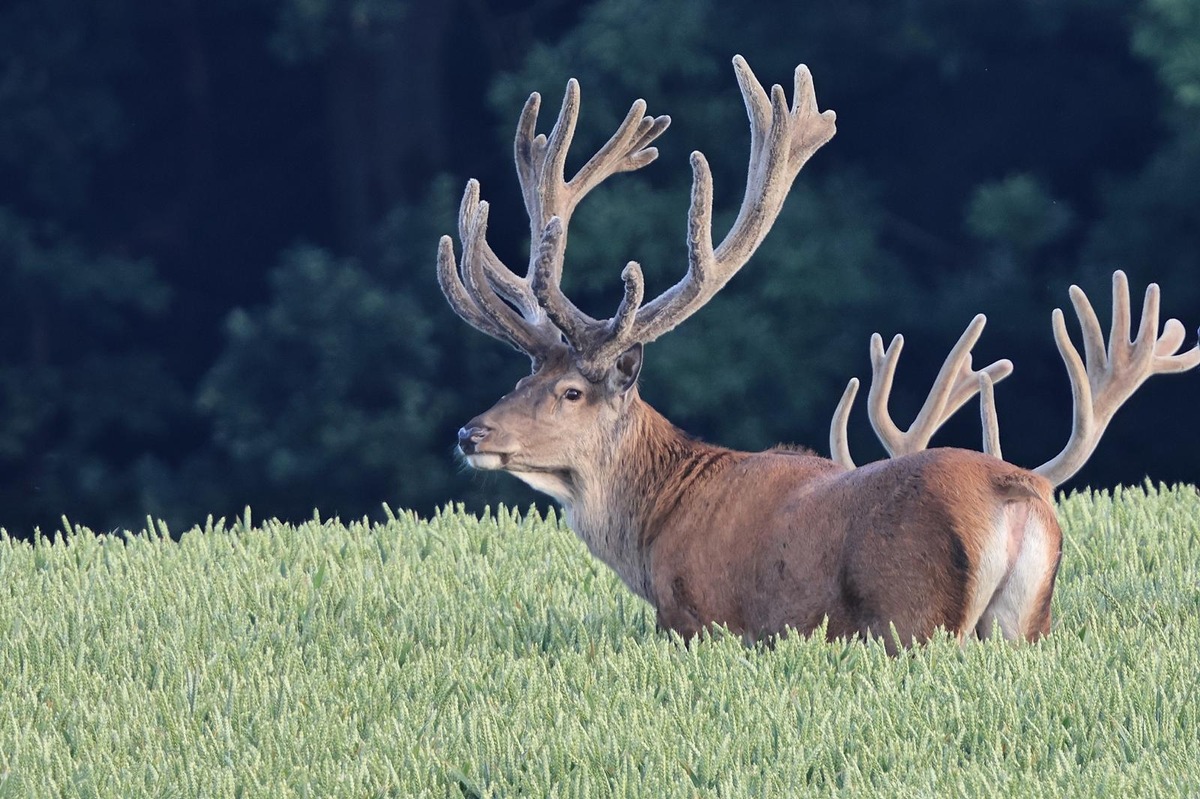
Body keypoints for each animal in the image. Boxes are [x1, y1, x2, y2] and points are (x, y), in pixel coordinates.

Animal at [439, 56, 1200, 643]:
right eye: (519, 379)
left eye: (570, 390)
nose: (470, 433)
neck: (659, 522)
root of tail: (1017, 489)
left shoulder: (693, 619)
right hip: (1025, 627)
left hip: (914, 617)